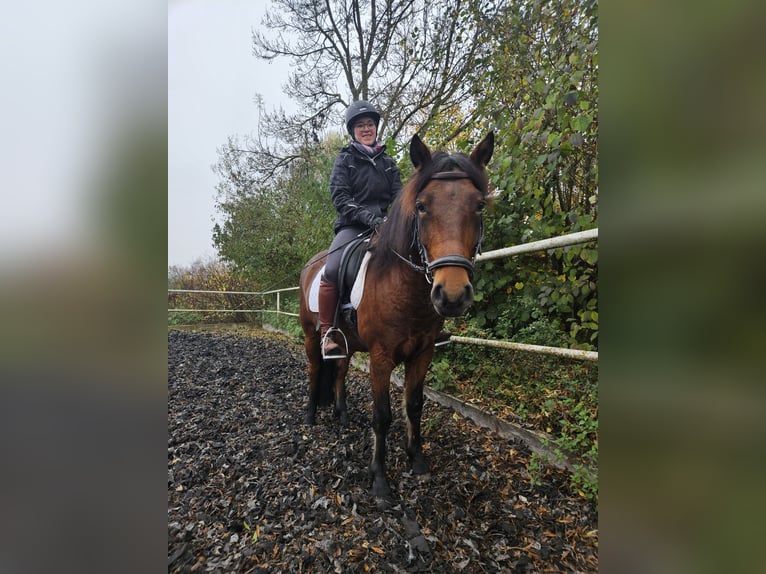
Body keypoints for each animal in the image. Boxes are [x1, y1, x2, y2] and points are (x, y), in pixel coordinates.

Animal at [296, 132, 496, 500]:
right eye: (421, 206)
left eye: (478, 205)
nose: (452, 295)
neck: (402, 286)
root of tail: (312, 265)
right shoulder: (381, 356)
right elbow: (382, 415)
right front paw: (379, 479)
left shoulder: (423, 353)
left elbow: (414, 405)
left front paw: (417, 461)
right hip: (309, 334)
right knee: (315, 369)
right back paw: (311, 416)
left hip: (346, 342)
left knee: (340, 371)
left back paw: (341, 415)